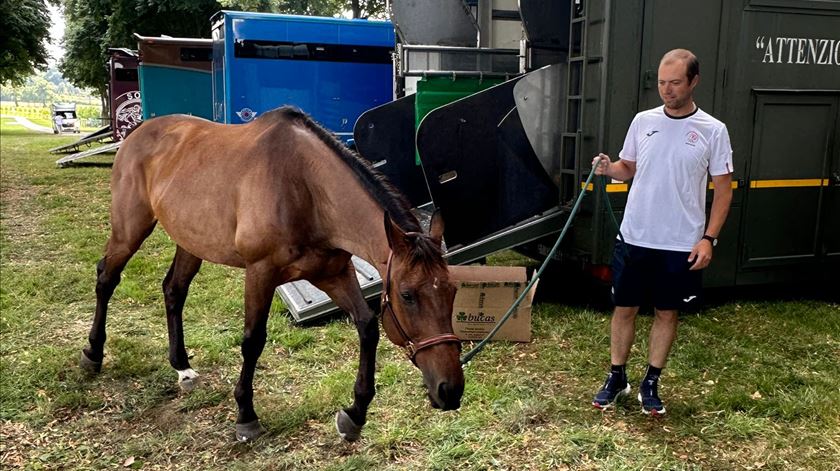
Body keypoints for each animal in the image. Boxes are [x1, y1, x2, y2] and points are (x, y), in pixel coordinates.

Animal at [81, 107, 462, 442]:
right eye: (407, 295)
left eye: (453, 291)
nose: (450, 390)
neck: (306, 188)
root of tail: (137, 133)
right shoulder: (260, 273)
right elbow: (253, 340)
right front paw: (245, 416)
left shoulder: (335, 273)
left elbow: (367, 326)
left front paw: (354, 415)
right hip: (130, 230)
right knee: (106, 278)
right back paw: (92, 355)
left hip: (190, 241)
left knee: (174, 290)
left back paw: (182, 367)